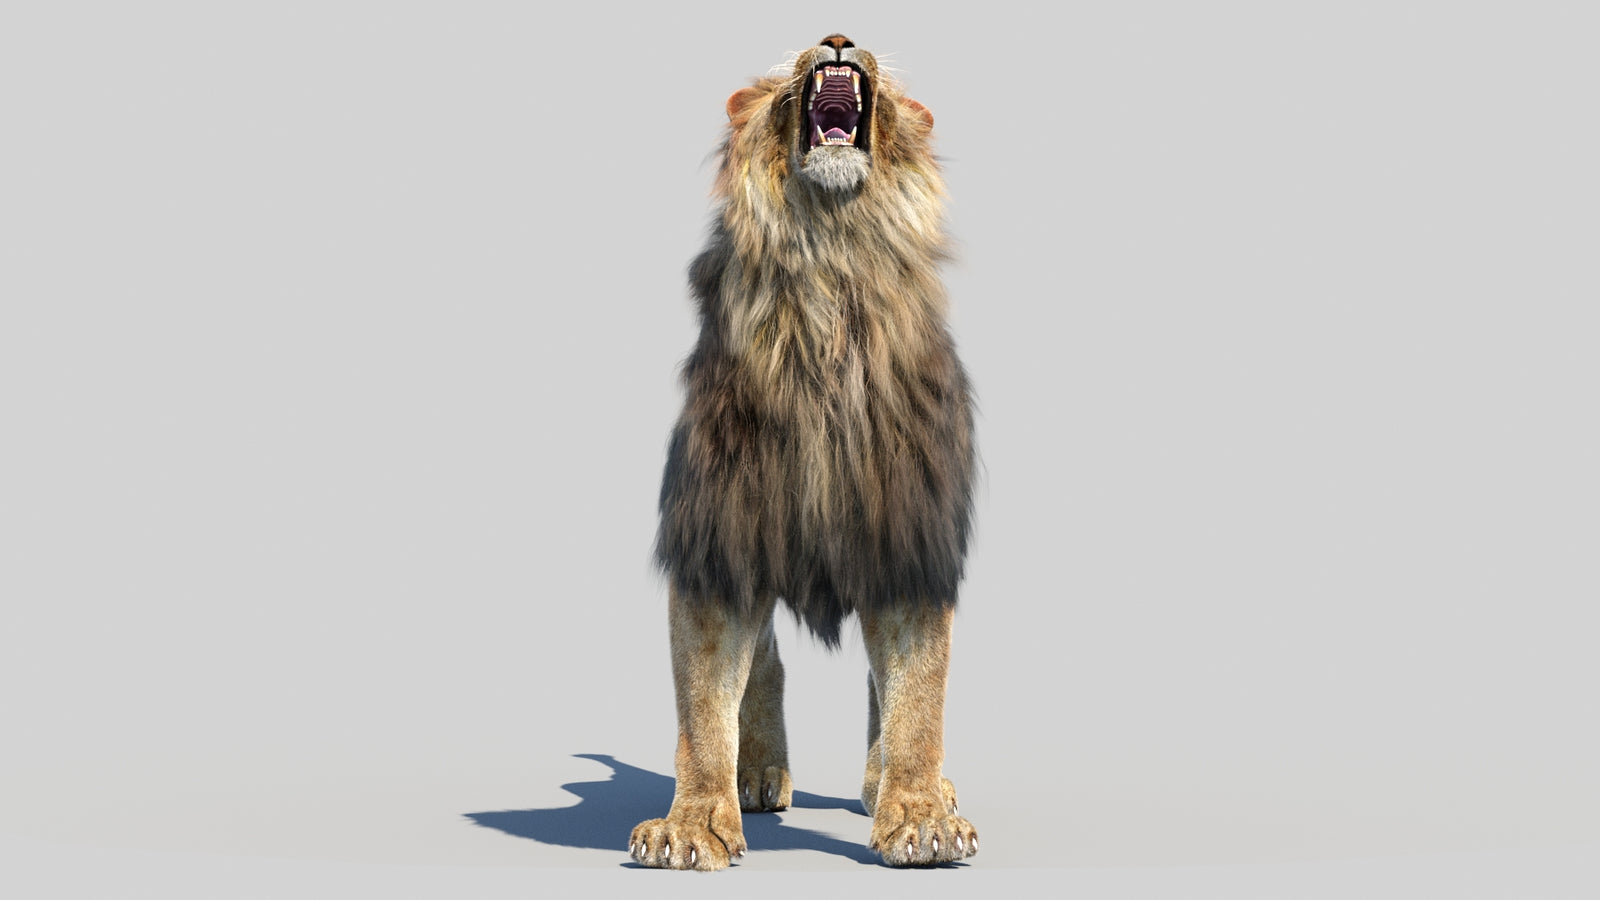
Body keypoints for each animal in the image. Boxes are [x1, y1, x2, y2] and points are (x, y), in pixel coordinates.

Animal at [629, 34, 978, 870]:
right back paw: (756, 773)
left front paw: (919, 816)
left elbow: (918, 696)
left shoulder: (909, 540)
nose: (841, 39)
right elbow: (702, 701)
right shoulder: (719, 537)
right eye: (782, 81)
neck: (830, 267)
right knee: (766, 660)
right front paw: (693, 823)